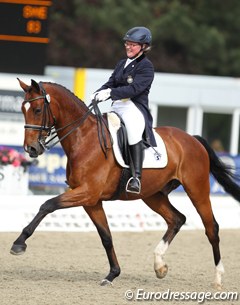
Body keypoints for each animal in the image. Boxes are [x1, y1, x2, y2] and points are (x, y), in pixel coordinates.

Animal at [10, 78, 240, 288]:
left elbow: (47, 205)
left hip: (197, 190)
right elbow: (106, 236)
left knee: (211, 228)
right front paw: (112, 274)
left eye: (37, 110)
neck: (84, 139)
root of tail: (192, 139)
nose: (30, 149)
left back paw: (218, 278)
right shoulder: (91, 201)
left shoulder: (87, 193)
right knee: (177, 219)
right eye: (23, 109)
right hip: (153, 195)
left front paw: (19, 243)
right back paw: (159, 266)